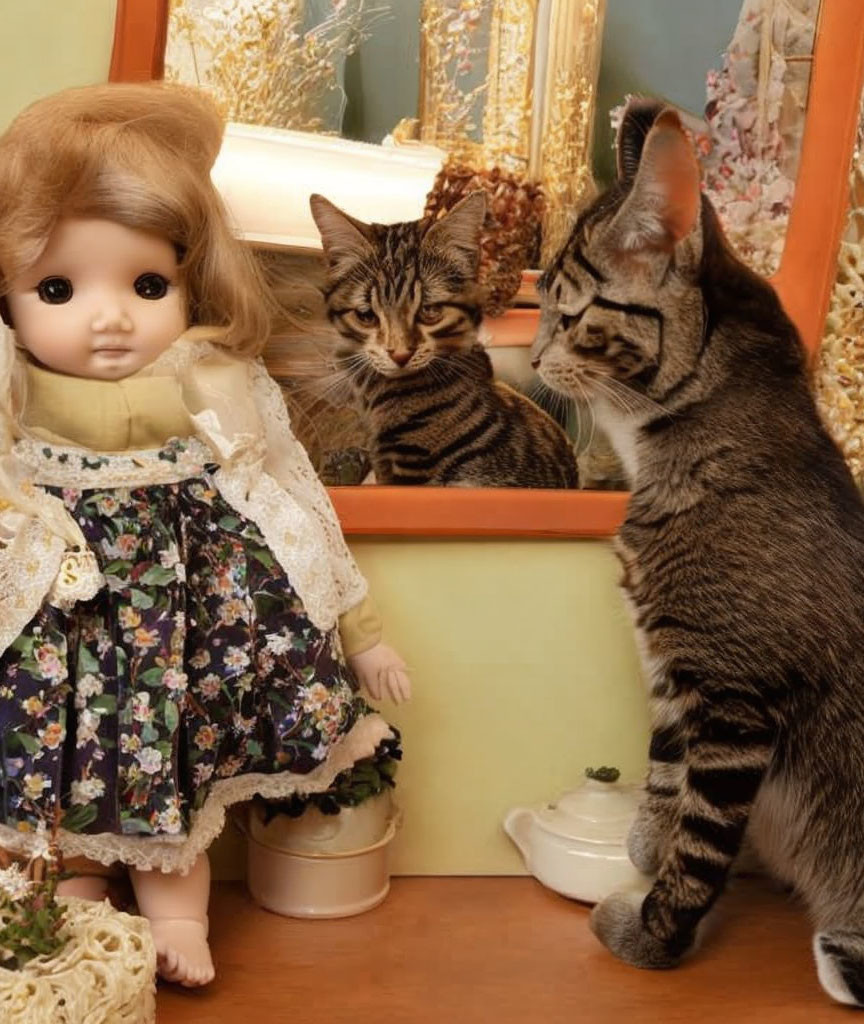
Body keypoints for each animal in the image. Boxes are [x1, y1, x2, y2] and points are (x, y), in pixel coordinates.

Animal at [532, 99, 864, 1011]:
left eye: (565, 314)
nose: (530, 357)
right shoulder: (679, 671)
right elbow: (664, 768)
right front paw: (643, 841)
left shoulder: (736, 696)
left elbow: (699, 849)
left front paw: (652, 934)